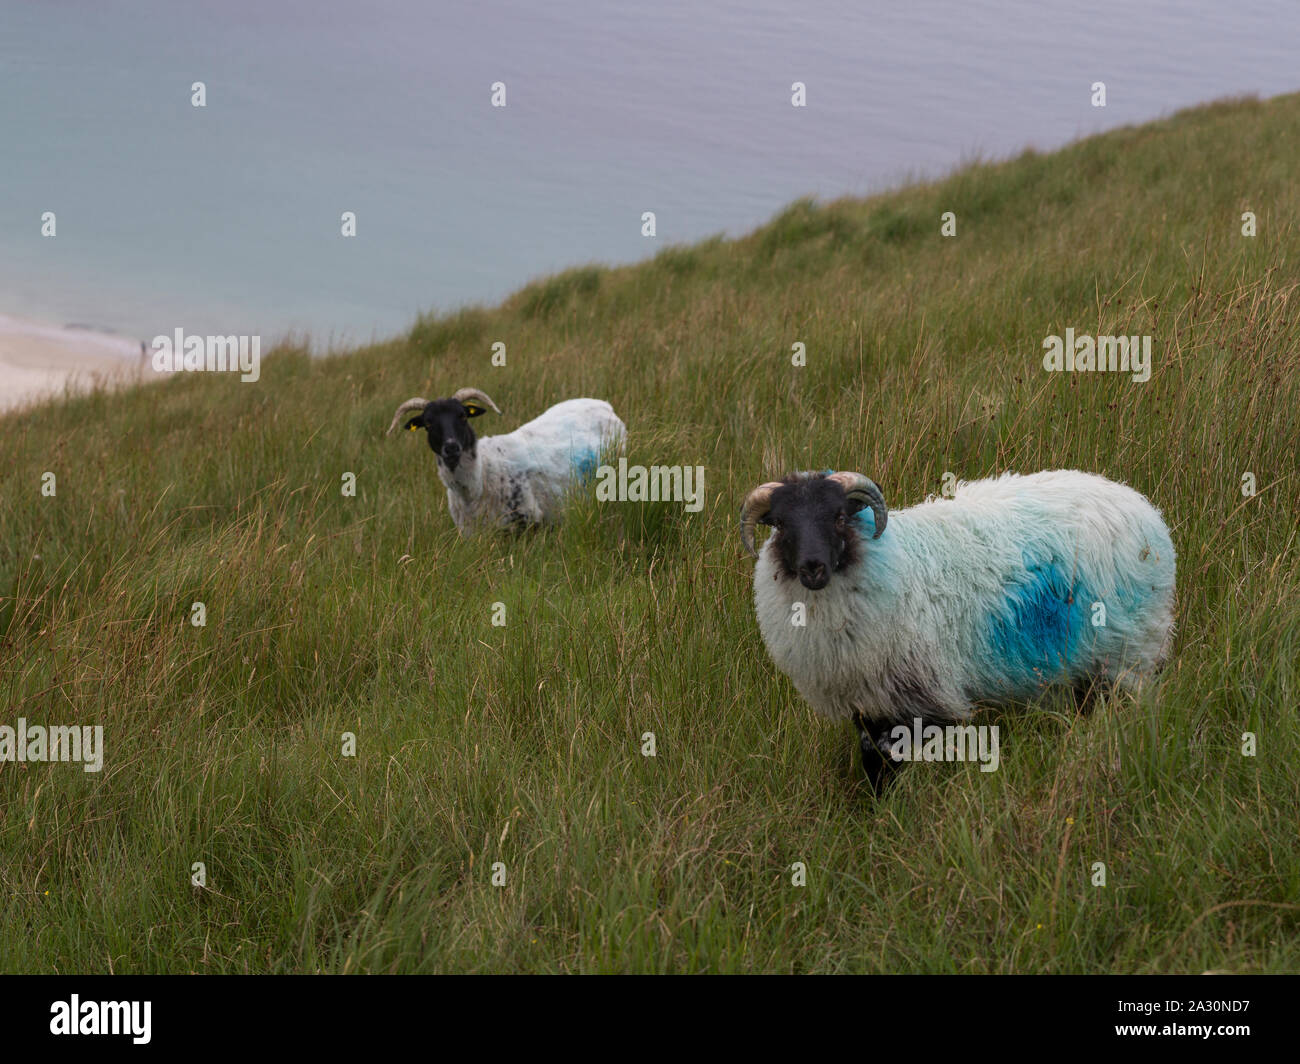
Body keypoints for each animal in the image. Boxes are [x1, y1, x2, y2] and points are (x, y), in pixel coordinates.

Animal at [739, 469, 1176, 787]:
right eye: (781, 524)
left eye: (840, 516)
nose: (813, 567)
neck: (890, 560)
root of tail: (1138, 504)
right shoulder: (868, 700)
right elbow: (874, 762)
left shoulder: (929, 696)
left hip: (1132, 649)